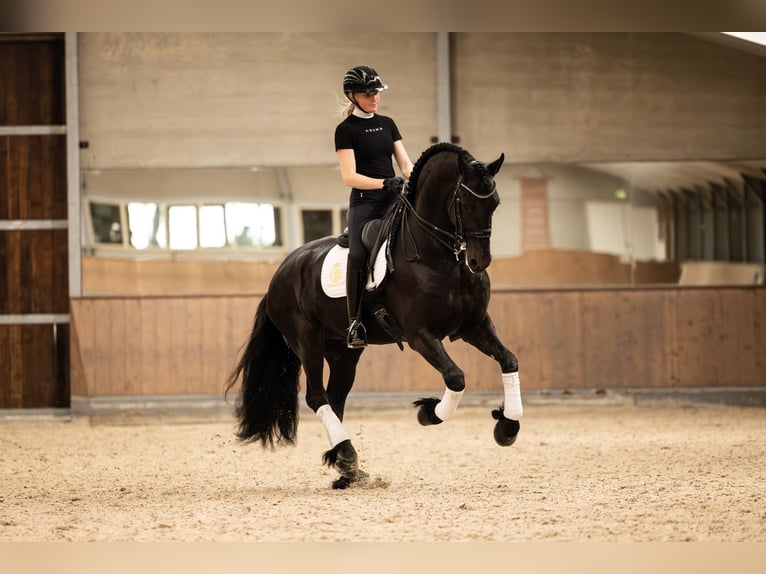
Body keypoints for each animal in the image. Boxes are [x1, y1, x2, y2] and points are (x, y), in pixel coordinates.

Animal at [225, 143, 524, 490]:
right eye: (464, 202)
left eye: (495, 203)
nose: (478, 262)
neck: (438, 255)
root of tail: (281, 272)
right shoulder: (420, 334)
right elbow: (456, 376)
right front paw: (429, 413)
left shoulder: (473, 325)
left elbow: (509, 360)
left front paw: (507, 426)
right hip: (306, 341)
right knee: (316, 396)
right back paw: (348, 458)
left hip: (342, 350)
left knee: (335, 397)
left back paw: (345, 466)